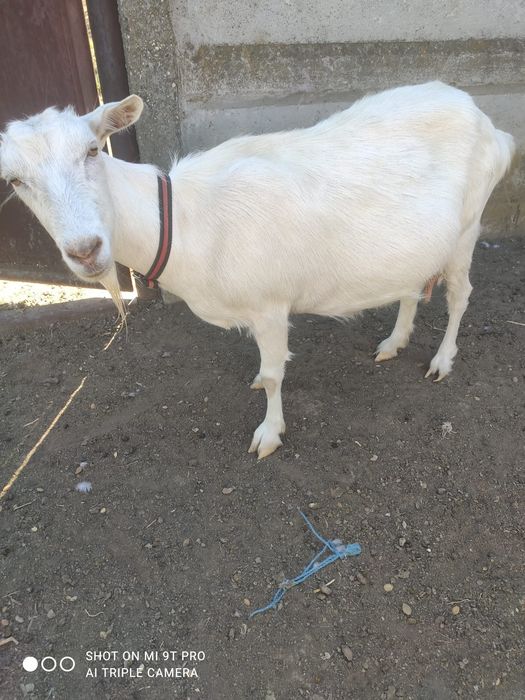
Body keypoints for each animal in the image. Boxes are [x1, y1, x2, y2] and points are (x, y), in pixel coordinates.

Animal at [0, 82, 515, 458]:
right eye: (15, 180)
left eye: (92, 150)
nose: (85, 250)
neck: (185, 221)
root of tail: (491, 126)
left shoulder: (270, 305)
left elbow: (272, 375)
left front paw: (268, 434)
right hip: (416, 246)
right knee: (411, 287)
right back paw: (393, 343)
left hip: (467, 228)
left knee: (460, 296)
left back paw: (442, 361)